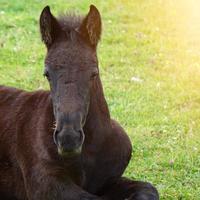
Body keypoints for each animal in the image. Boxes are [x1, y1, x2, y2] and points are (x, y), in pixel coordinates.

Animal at [0, 4, 159, 200]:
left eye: (94, 73)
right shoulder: (45, 184)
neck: (89, 152)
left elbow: (148, 189)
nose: (68, 139)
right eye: (47, 74)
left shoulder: (108, 181)